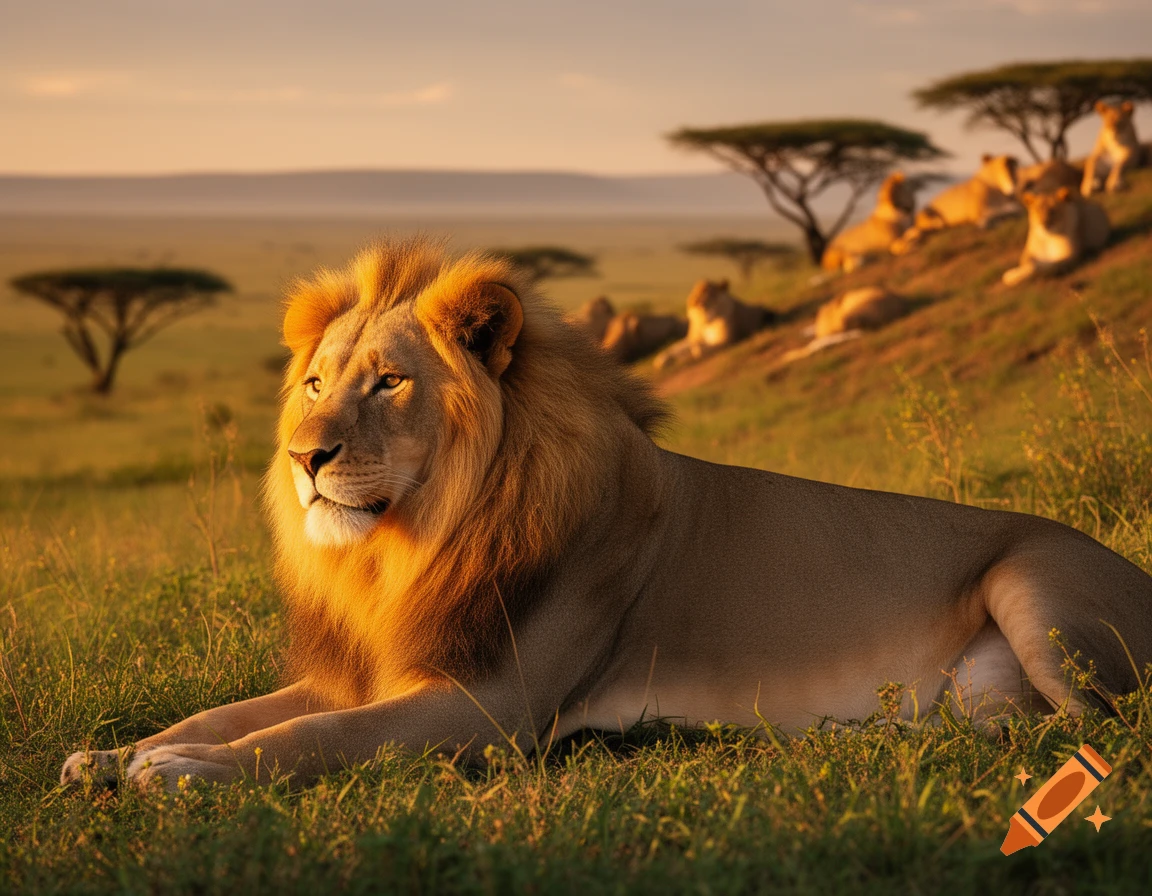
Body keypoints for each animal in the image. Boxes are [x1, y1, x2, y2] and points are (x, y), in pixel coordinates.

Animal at [62, 238, 1152, 791]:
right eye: (318, 382)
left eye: (388, 383)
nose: (305, 457)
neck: (410, 546)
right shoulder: (378, 668)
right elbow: (234, 711)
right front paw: (119, 753)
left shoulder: (488, 708)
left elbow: (310, 739)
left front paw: (178, 774)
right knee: (998, 733)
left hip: (1034, 584)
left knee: (1097, 732)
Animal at [891, 154, 1021, 253]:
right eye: (1000, 168)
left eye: (1013, 169)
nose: (1013, 183)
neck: (1001, 192)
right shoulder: (977, 213)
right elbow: (997, 212)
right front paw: (986, 222)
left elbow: (1013, 209)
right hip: (929, 216)